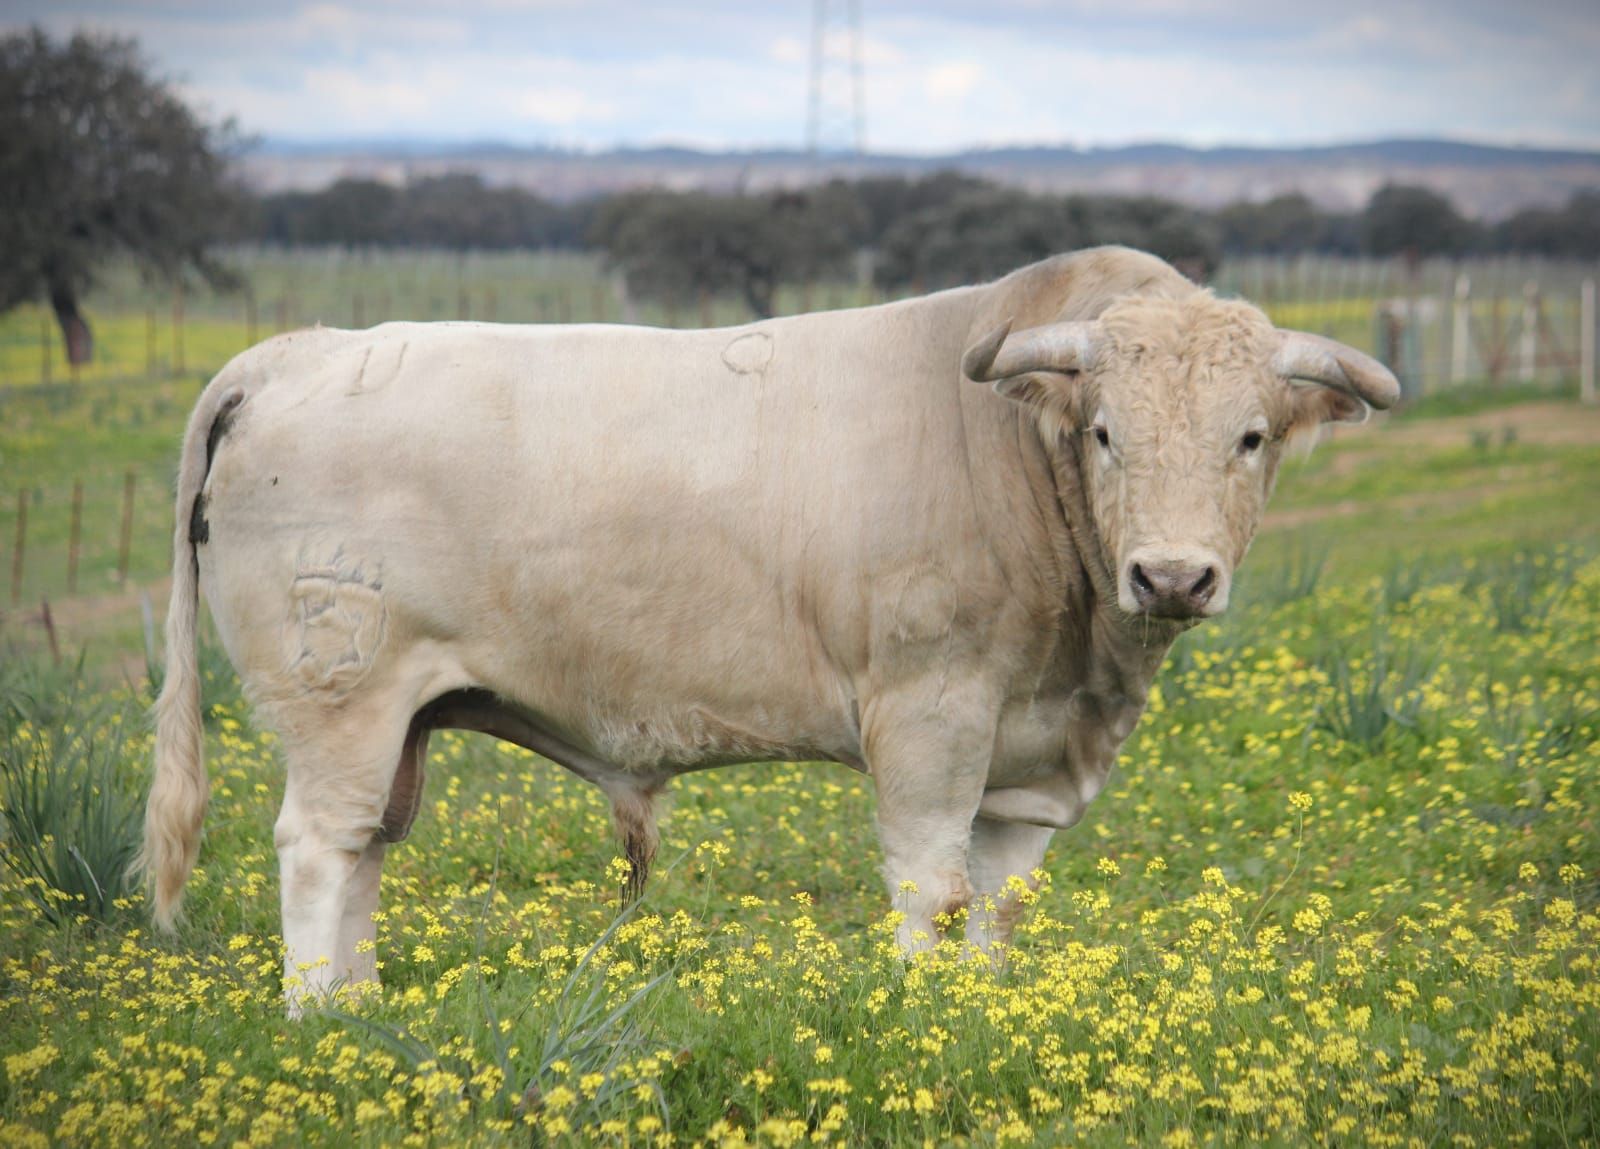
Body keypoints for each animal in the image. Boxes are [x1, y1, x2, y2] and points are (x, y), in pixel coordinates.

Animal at [137, 243, 1395, 1011]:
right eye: (1103, 434)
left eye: (1250, 437)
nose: (1172, 575)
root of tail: (298, 350)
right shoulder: (931, 713)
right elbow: (930, 890)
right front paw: (923, 1022)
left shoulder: (1026, 754)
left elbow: (998, 902)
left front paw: (987, 1017)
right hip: (340, 696)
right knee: (318, 849)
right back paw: (321, 1025)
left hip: (400, 723)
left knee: (365, 854)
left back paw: (362, 1013)